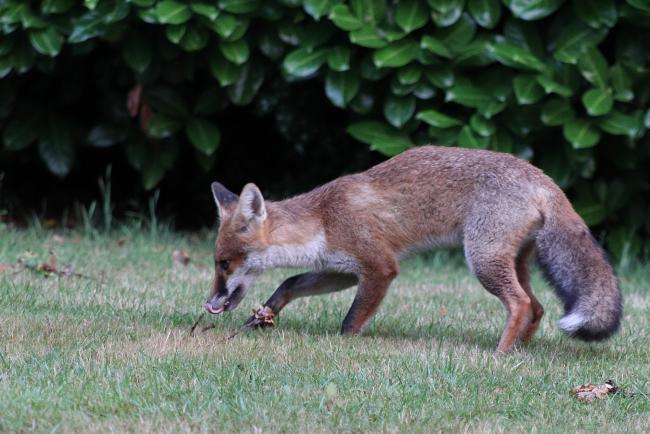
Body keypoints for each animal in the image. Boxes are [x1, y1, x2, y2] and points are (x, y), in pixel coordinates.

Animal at [204, 145, 622, 352]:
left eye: (223, 263)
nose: (209, 303)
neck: (323, 219)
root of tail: (545, 179)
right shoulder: (341, 269)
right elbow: (289, 283)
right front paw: (262, 317)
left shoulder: (379, 266)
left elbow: (350, 321)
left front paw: (345, 347)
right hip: (511, 261)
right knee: (536, 307)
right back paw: (521, 351)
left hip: (482, 259)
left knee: (520, 304)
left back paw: (500, 355)